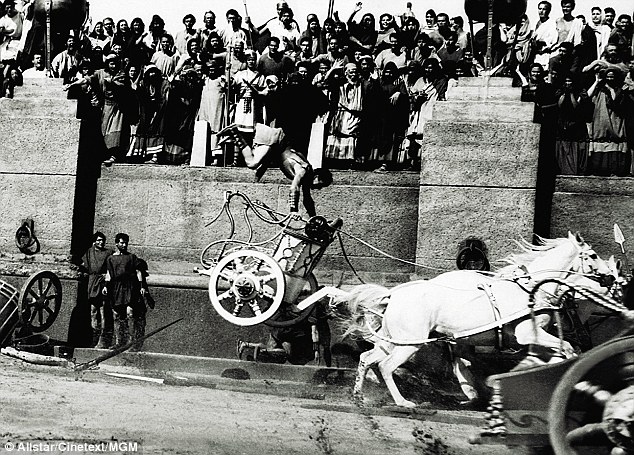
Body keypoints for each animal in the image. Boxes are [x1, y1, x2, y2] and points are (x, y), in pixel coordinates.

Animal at [330, 233, 612, 408]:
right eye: (593, 255)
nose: (610, 278)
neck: (530, 290)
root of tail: (394, 294)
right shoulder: (527, 334)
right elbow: (567, 348)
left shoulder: (529, 339)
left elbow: (558, 352)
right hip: (410, 343)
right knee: (386, 366)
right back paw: (402, 402)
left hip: (396, 340)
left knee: (367, 358)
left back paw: (359, 396)